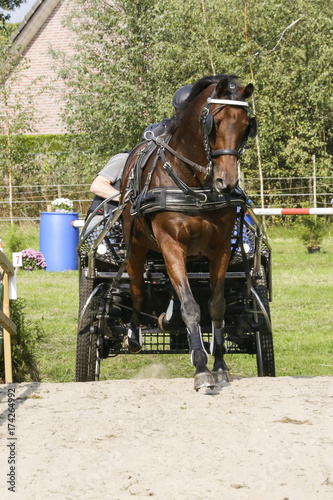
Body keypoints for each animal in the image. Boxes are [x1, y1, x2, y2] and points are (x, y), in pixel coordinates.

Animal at [120, 73, 255, 390]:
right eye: (215, 122)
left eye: (247, 126)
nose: (227, 182)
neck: (194, 183)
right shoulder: (171, 246)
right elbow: (191, 306)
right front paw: (201, 369)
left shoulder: (220, 249)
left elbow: (216, 306)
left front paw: (219, 365)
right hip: (136, 249)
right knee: (137, 292)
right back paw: (133, 336)